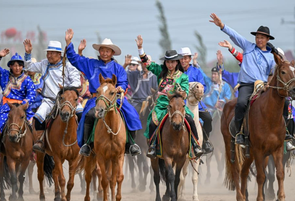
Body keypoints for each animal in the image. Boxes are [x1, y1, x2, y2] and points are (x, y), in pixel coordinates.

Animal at [221, 52, 295, 201]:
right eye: (283, 72)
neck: (269, 116)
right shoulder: (258, 150)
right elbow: (261, 176)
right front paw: (261, 198)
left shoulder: (277, 149)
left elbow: (279, 173)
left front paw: (281, 196)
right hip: (231, 147)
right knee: (236, 170)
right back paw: (240, 196)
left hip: (249, 153)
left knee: (244, 172)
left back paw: (244, 195)